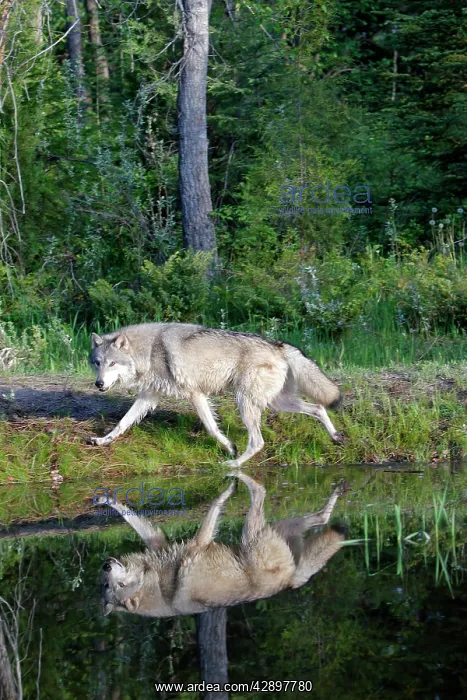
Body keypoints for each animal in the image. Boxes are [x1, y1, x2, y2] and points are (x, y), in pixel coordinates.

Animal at [88, 323, 345, 467]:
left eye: (112, 363)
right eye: (98, 363)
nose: (99, 384)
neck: (149, 351)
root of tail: (279, 345)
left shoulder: (196, 394)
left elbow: (211, 427)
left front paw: (229, 447)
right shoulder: (148, 397)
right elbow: (122, 423)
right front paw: (103, 440)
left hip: (247, 403)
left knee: (258, 442)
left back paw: (233, 464)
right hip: (277, 402)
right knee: (318, 408)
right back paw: (335, 437)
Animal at [100, 472, 347, 617]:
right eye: (111, 586)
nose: (106, 565)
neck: (160, 585)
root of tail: (288, 582)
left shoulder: (171, 542)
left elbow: (130, 517)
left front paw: (106, 499)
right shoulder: (193, 542)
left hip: (267, 530)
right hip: (262, 532)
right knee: (274, 497)